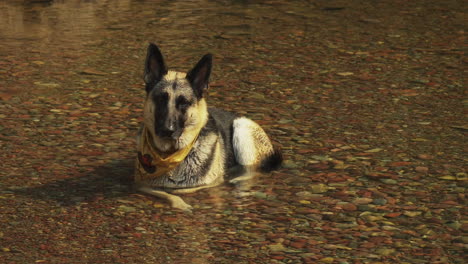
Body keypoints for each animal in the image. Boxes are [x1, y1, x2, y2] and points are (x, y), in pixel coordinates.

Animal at [135, 43, 282, 210]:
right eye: (160, 99)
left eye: (184, 103)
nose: (168, 130)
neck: (170, 154)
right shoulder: (142, 185)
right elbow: (168, 194)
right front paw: (179, 203)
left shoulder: (208, 184)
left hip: (242, 128)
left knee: (252, 171)